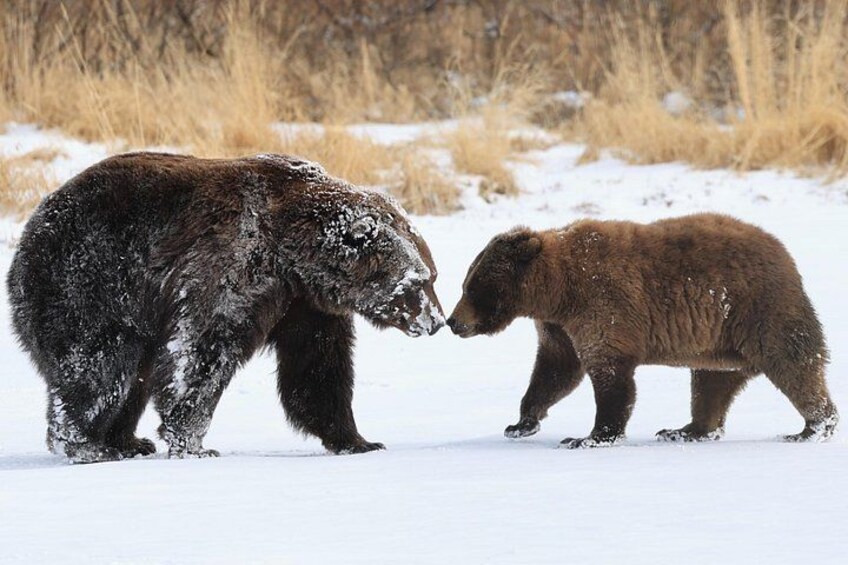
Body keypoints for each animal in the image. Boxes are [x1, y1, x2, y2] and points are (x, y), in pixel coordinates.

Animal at [7, 152, 445, 463]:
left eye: (433, 275)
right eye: (418, 281)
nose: (437, 321)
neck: (294, 252)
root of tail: (29, 233)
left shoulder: (304, 304)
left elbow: (318, 370)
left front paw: (359, 440)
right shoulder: (232, 260)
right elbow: (202, 349)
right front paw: (194, 443)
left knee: (133, 376)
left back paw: (127, 441)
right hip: (89, 281)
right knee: (99, 365)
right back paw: (87, 445)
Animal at [446, 213, 836, 448]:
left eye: (473, 288)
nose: (452, 322)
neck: (557, 291)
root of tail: (785, 254)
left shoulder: (603, 305)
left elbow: (610, 377)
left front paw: (589, 436)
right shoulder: (558, 328)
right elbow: (554, 372)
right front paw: (521, 422)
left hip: (759, 310)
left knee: (793, 364)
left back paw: (813, 427)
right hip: (717, 340)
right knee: (711, 384)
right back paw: (685, 430)